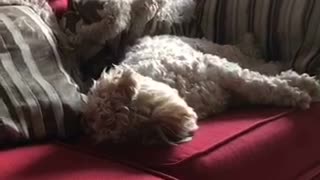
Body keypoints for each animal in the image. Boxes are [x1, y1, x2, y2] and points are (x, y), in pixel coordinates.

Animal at [84, 34, 320, 146]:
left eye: (141, 110)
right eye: (136, 131)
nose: (172, 133)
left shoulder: (218, 68)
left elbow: (260, 83)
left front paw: (303, 88)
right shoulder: (232, 93)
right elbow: (261, 88)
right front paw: (297, 92)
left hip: (219, 51)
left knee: (252, 60)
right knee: (258, 65)